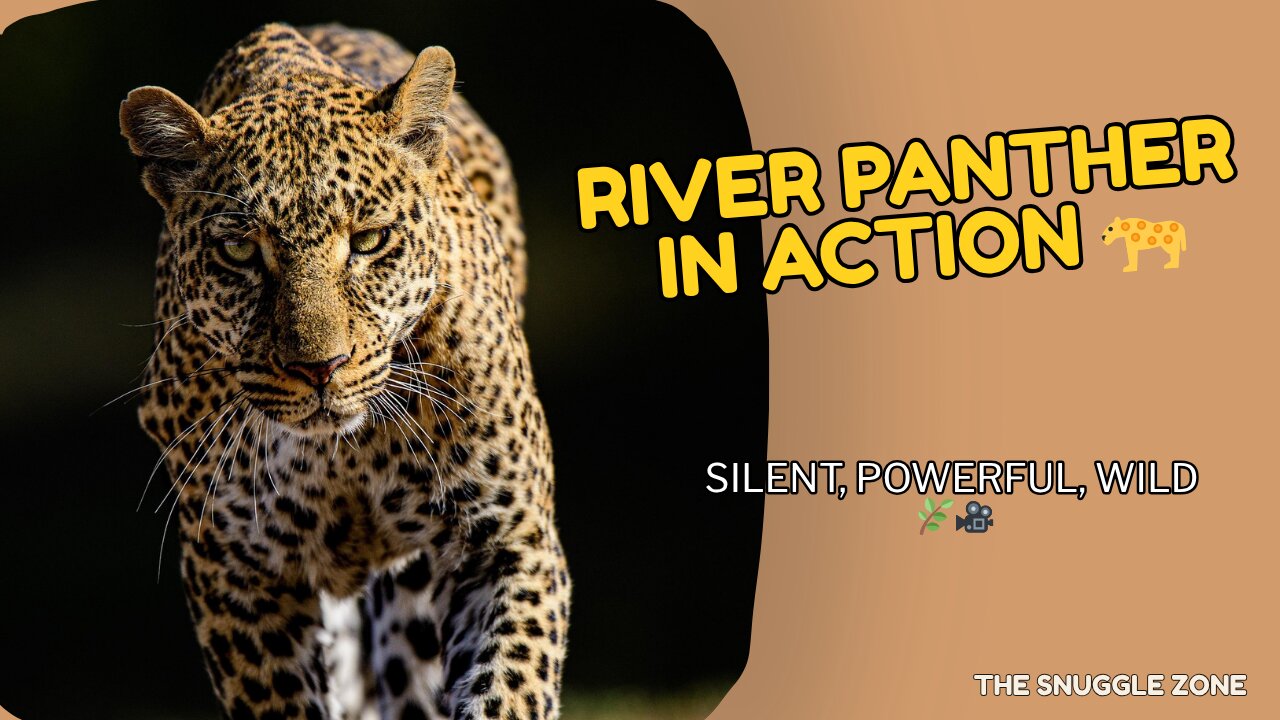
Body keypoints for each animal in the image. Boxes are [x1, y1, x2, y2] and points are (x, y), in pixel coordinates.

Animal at [118, 22, 566, 720]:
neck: (344, 457)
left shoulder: (507, 540)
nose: (320, 368)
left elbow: (508, 688)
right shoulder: (237, 576)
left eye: (369, 240)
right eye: (240, 250)